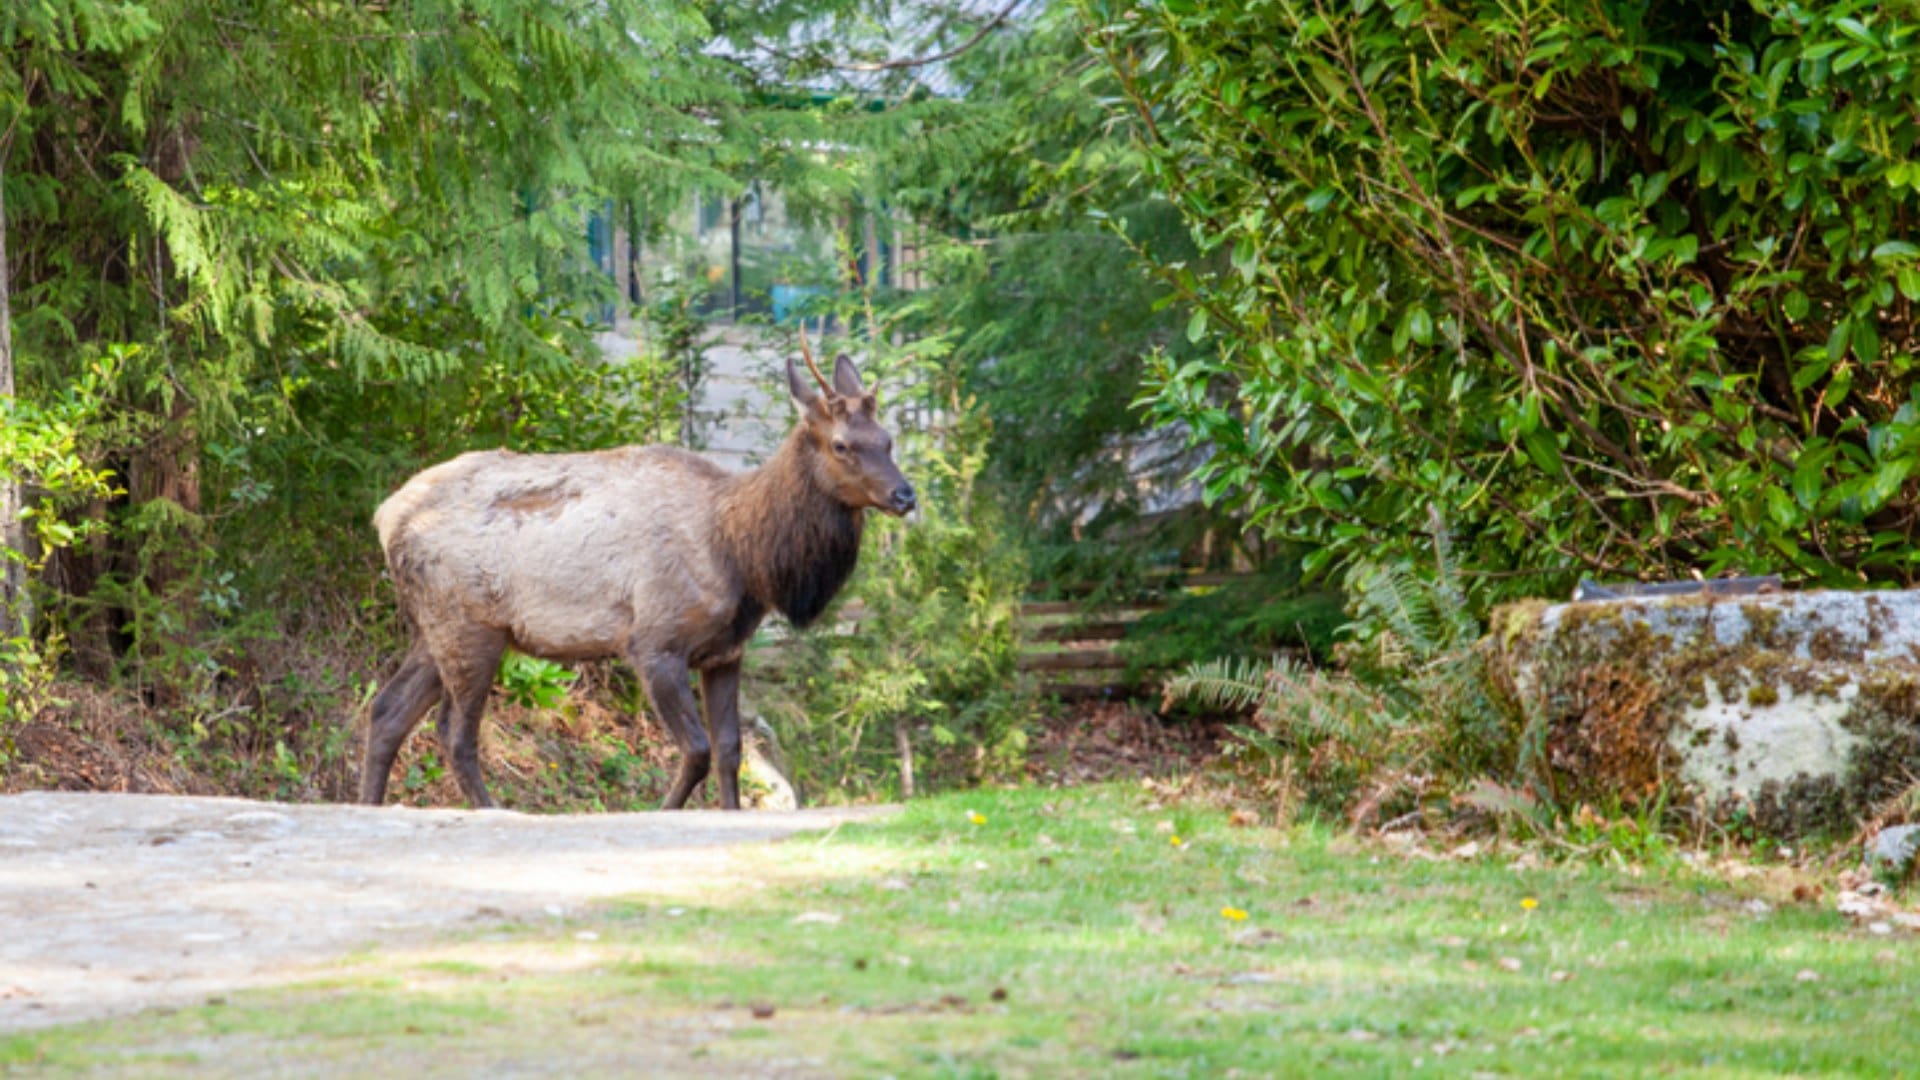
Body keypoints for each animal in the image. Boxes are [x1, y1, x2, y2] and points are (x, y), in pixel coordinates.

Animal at [359, 327, 913, 811]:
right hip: (471, 626)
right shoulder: (655, 643)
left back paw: (370, 802)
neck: (743, 556)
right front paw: (665, 810)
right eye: (841, 444)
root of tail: (385, 516)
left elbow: (731, 750)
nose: (905, 494)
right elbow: (697, 749)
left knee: (387, 711)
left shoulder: (726, 652)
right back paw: (491, 808)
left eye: (887, 439)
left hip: (434, 629)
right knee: (453, 732)